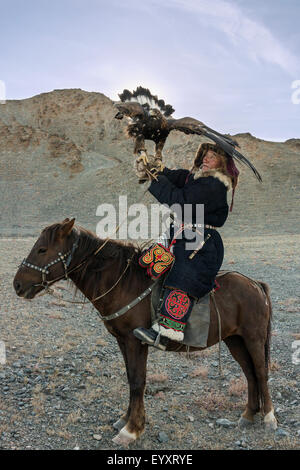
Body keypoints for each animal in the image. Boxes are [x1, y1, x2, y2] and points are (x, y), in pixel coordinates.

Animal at [12, 218, 278, 446]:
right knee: (250, 374)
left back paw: (269, 418)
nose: (17, 285)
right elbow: (131, 378)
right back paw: (248, 415)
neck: (123, 283)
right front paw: (125, 419)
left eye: (43, 250)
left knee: (260, 373)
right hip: (235, 340)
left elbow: (138, 381)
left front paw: (131, 430)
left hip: (253, 338)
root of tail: (255, 285)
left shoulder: (135, 341)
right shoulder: (122, 341)